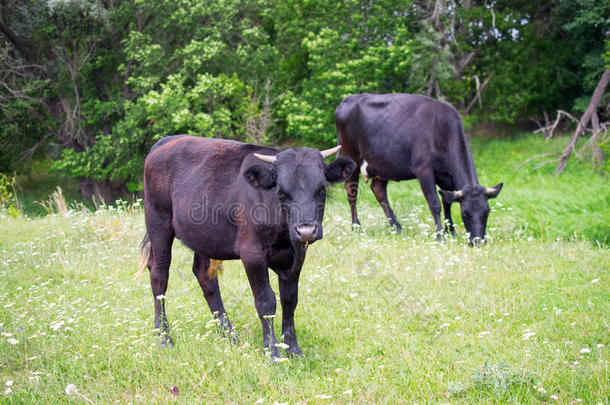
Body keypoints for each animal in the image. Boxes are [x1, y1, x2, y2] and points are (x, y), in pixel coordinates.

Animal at [135, 134, 354, 358]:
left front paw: (293, 349)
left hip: (204, 235)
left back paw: (229, 335)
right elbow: (266, 300)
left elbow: (290, 300)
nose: (306, 231)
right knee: (159, 274)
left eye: (321, 190)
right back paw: (163, 336)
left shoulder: (297, 254)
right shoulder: (252, 254)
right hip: (158, 222)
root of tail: (169, 140)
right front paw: (272, 351)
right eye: (282, 192)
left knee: (204, 275)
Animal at [334, 93, 502, 241]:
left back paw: (396, 227)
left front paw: (451, 231)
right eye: (465, 213)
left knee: (378, 189)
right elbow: (435, 204)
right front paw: (440, 235)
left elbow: (446, 202)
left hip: (382, 163)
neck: (442, 131)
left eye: (487, 212)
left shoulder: (446, 177)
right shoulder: (424, 171)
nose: (478, 241)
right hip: (351, 155)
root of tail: (350, 98)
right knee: (351, 190)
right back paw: (357, 227)